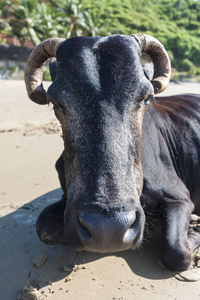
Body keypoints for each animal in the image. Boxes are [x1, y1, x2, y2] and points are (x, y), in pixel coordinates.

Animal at [24, 34, 199, 272]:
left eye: (146, 98)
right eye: (56, 104)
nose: (108, 230)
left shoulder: (179, 198)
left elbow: (177, 252)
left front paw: (195, 229)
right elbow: (43, 228)